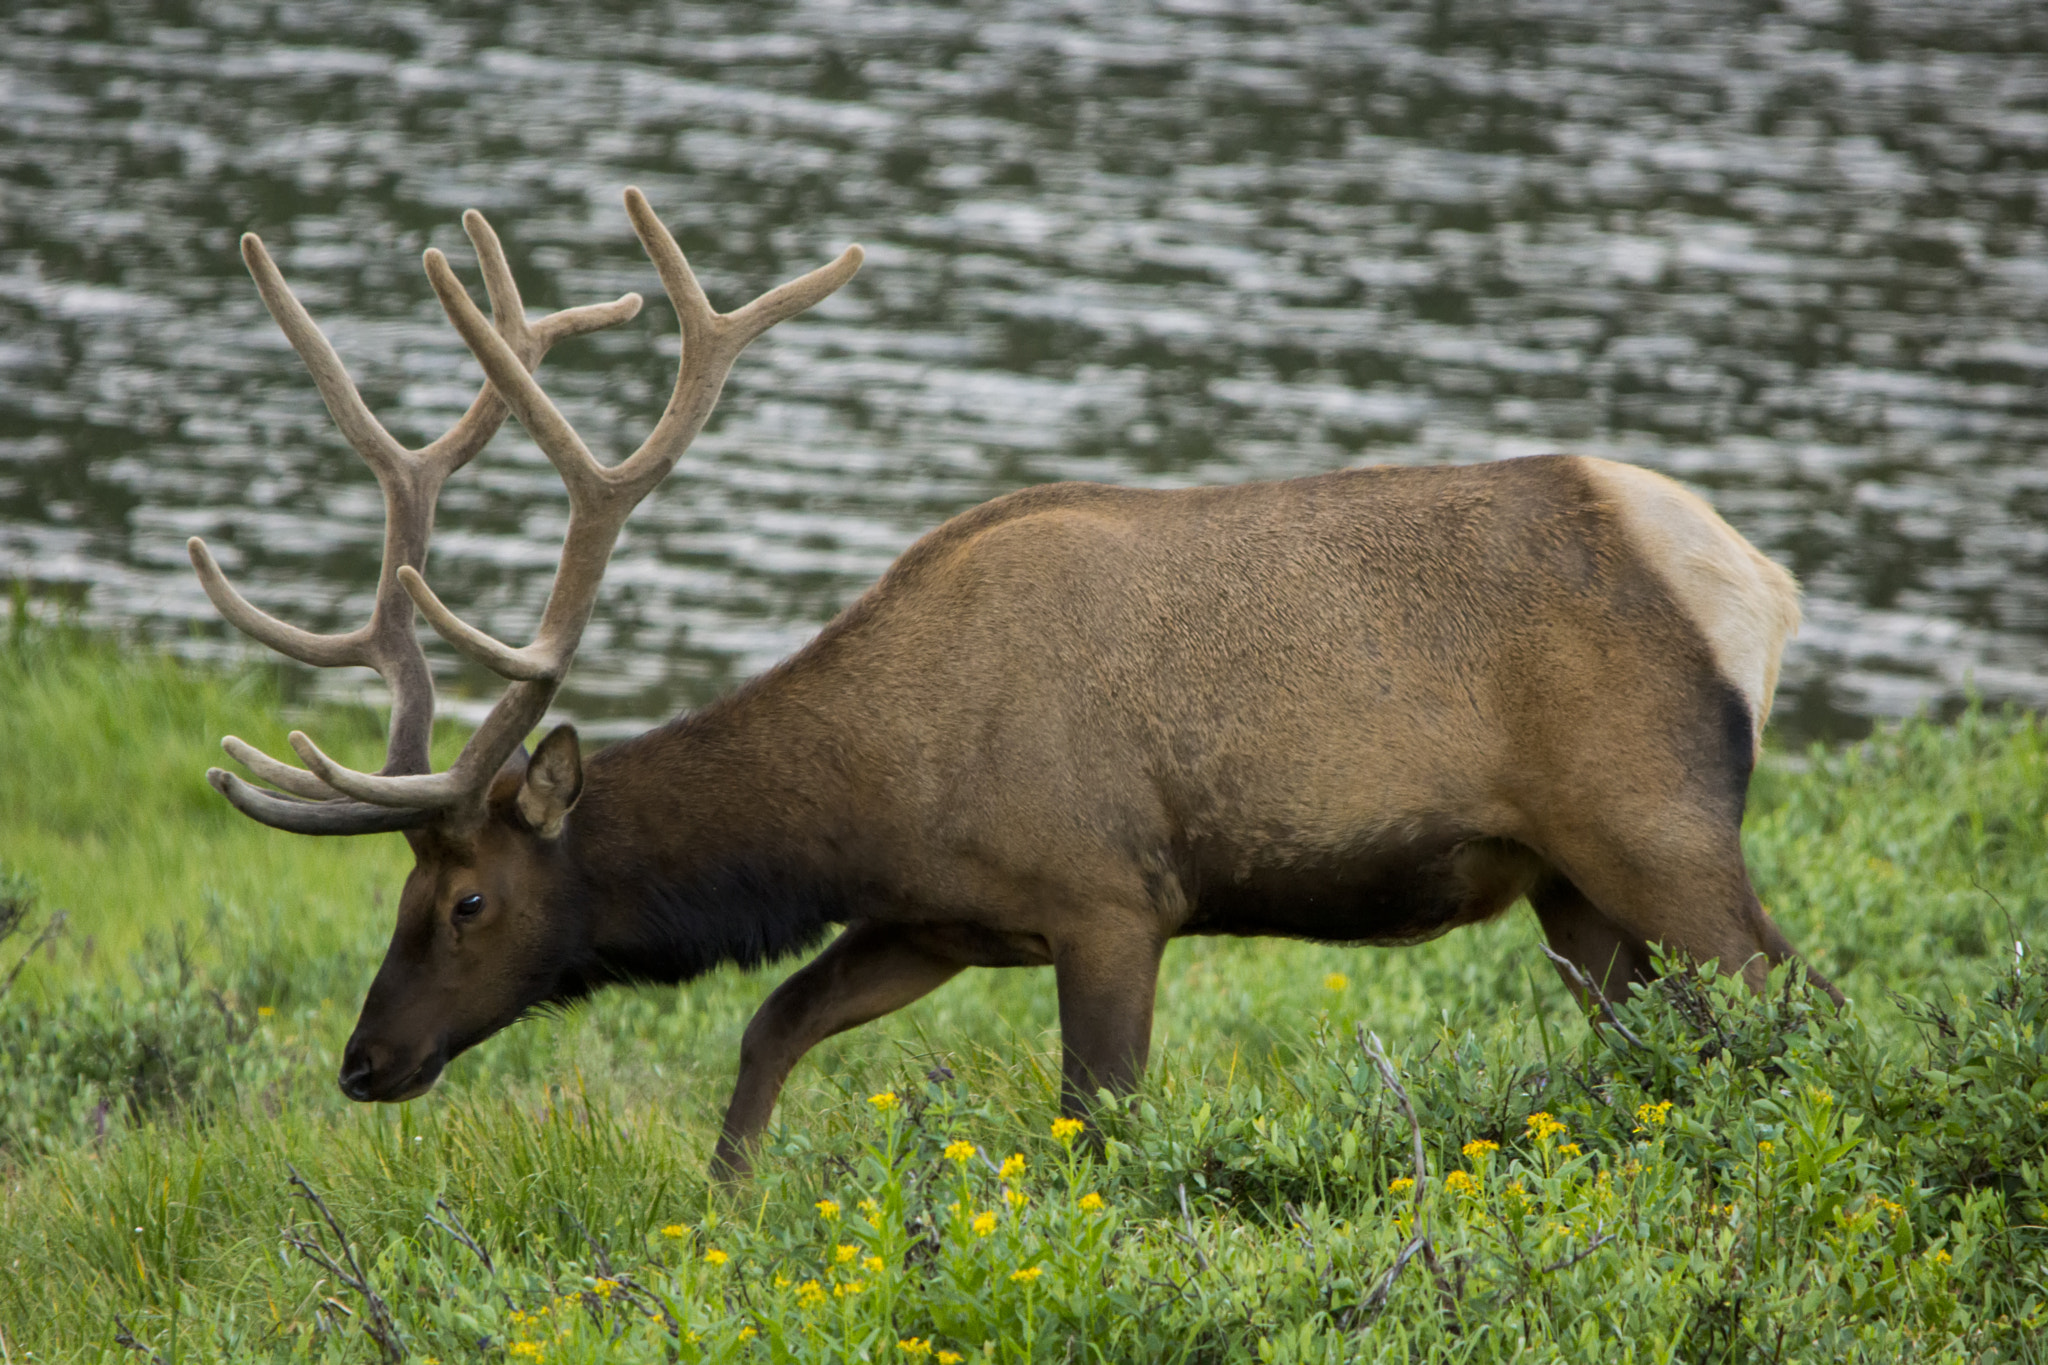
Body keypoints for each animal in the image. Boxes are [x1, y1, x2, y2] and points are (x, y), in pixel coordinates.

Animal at [192, 187, 1835, 1178]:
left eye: (465, 902)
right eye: (401, 897)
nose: (364, 1061)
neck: (874, 789)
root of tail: (1760, 586)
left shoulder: (1111, 897)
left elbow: (1095, 1121)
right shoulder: (935, 918)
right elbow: (770, 1026)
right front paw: (723, 1207)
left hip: (1653, 817)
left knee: (1788, 996)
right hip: (1567, 884)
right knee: (1664, 1037)